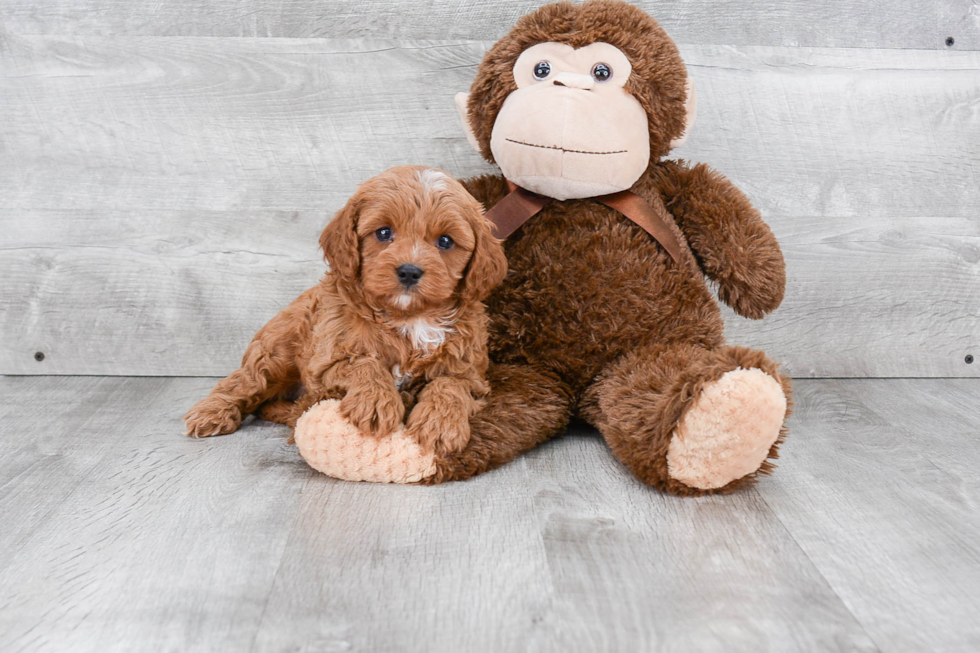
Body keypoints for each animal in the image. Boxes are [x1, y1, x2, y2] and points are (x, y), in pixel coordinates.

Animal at [182, 166, 506, 456]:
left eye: (445, 241)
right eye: (384, 232)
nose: (409, 271)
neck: (409, 317)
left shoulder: (470, 375)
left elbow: (449, 385)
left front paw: (440, 423)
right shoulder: (327, 360)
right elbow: (363, 364)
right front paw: (376, 404)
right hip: (275, 353)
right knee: (242, 382)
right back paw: (211, 413)